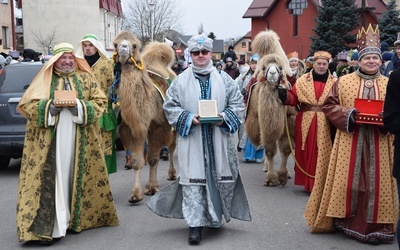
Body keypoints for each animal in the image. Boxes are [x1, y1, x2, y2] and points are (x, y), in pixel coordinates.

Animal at [111, 31, 176, 203]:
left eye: (134, 45)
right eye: (115, 44)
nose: (123, 47)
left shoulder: (160, 127)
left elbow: (153, 159)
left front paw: (151, 188)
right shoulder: (132, 128)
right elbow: (137, 162)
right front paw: (136, 194)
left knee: (172, 148)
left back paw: (172, 174)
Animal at [244, 29, 296, 187]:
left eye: (280, 67)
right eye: (264, 67)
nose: (272, 73)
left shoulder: (288, 123)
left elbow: (286, 149)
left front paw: (283, 175)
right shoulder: (266, 124)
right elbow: (269, 151)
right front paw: (271, 179)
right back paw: (266, 167)